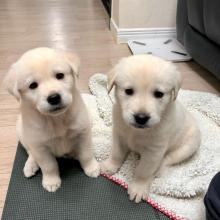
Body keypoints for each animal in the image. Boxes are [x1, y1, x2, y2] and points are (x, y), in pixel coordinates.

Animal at [3, 47, 100, 192]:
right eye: (33, 85)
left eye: (60, 75)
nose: (54, 97)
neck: (56, 119)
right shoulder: (40, 146)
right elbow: (49, 165)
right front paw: (51, 181)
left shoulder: (83, 133)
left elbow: (86, 154)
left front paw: (91, 167)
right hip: (22, 132)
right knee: (30, 152)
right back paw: (30, 165)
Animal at [101, 54, 201, 203]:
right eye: (128, 91)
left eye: (159, 94)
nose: (141, 118)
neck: (137, 131)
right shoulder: (119, 135)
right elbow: (116, 154)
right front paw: (110, 166)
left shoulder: (154, 151)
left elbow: (144, 170)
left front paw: (139, 187)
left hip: (186, 148)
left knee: (166, 160)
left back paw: (158, 170)